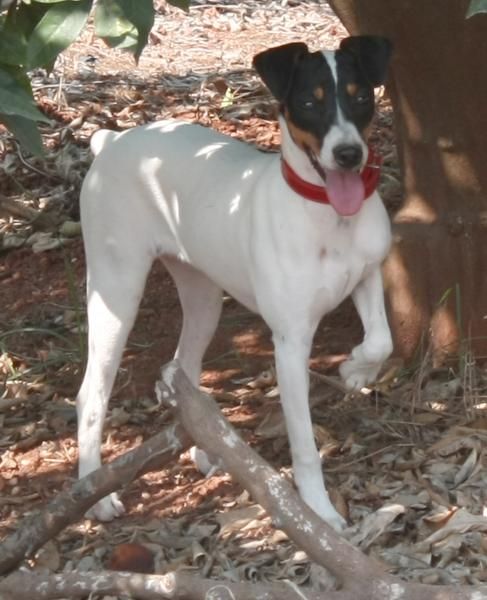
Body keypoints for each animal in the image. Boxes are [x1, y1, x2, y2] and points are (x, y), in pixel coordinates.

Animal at [78, 35, 394, 528]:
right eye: (309, 103)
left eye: (361, 96)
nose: (349, 155)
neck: (326, 216)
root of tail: (113, 140)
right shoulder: (290, 342)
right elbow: (304, 444)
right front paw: (318, 511)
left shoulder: (368, 275)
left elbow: (381, 340)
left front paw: (356, 368)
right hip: (116, 289)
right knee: (91, 391)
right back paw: (95, 493)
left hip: (203, 296)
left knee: (182, 368)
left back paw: (204, 449)